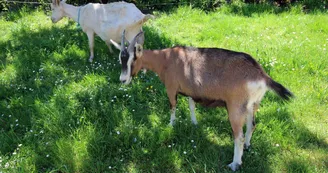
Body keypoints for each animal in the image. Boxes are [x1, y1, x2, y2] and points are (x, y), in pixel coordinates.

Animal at [111, 31, 294, 172]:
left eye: (133, 59)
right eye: (121, 59)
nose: (123, 80)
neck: (166, 59)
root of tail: (261, 75)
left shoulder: (171, 88)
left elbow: (172, 107)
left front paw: (171, 125)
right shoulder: (191, 91)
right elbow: (191, 106)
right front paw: (194, 123)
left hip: (235, 108)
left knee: (239, 136)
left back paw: (235, 164)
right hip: (252, 105)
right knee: (252, 125)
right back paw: (248, 146)